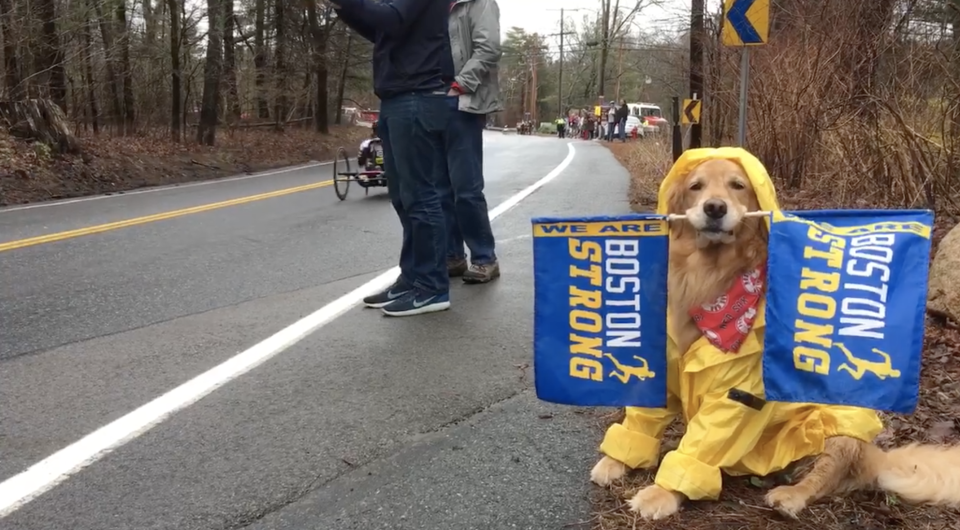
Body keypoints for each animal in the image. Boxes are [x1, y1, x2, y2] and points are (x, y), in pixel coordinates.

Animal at [588, 155, 960, 516]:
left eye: (737, 185)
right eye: (696, 186)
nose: (715, 208)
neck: (708, 277)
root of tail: (876, 457)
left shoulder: (735, 394)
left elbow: (701, 447)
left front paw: (662, 494)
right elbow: (641, 419)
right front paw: (616, 460)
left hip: (841, 425)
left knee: (827, 476)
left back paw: (791, 495)